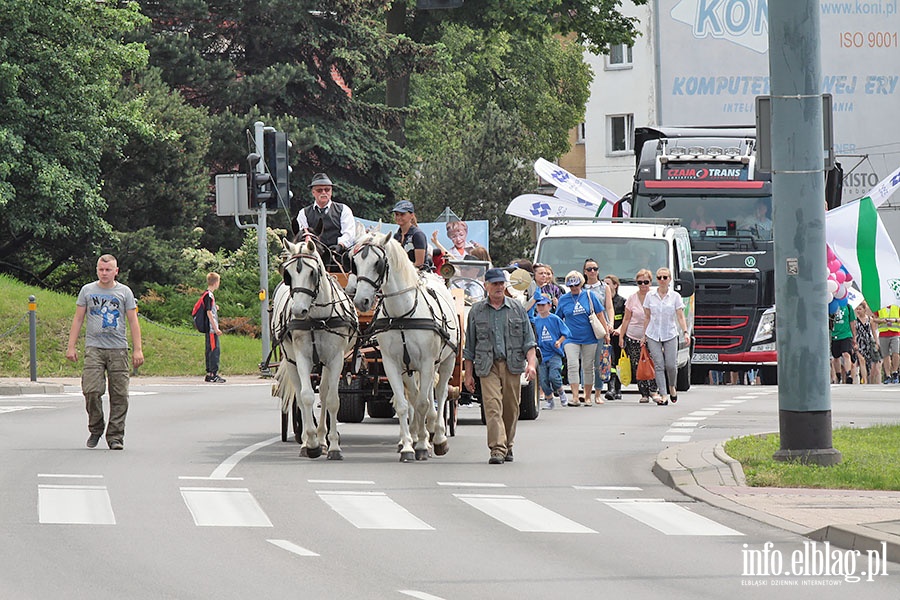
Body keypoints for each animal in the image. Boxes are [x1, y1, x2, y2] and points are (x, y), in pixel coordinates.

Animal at [270, 237, 358, 458]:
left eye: (312, 273)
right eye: (288, 274)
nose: (298, 310)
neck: (318, 319)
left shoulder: (335, 359)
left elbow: (333, 399)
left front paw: (333, 445)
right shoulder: (302, 357)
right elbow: (306, 396)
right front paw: (311, 444)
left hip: (325, 364)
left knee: (325, 394)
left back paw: (324, 438)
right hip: (291, 361)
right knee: (300, 396)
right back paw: (306, 441)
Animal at [344, 232, 458, 462]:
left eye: (378, 263)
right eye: (355, 263)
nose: (361, 301)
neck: (403, 315)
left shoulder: (427, 363)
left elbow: (424, 403)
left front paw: (423, 445)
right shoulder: (392, 364)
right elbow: (405, 404)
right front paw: (408, 445)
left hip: (446, 361)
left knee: (440, 394)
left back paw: (438, 437)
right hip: (410, 368)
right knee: (415, 396)